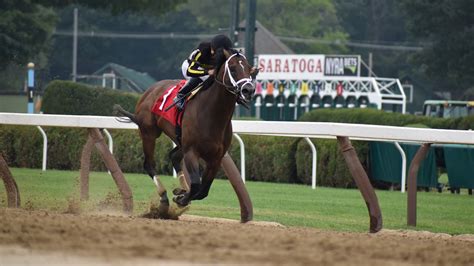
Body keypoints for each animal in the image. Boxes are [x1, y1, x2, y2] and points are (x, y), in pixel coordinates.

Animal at [115, 48, 258, 217]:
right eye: (233, 69)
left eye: (249, 69)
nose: (248, 90)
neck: (213, 115)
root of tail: (149, 90)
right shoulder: (192, 151)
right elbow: (196, 184)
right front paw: (181, 198)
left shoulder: (216, 158)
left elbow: (203, 190)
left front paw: (181, 194)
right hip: (148, 132)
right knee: (149, 164)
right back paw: (164, 198)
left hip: (179, 139)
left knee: (174, 156)